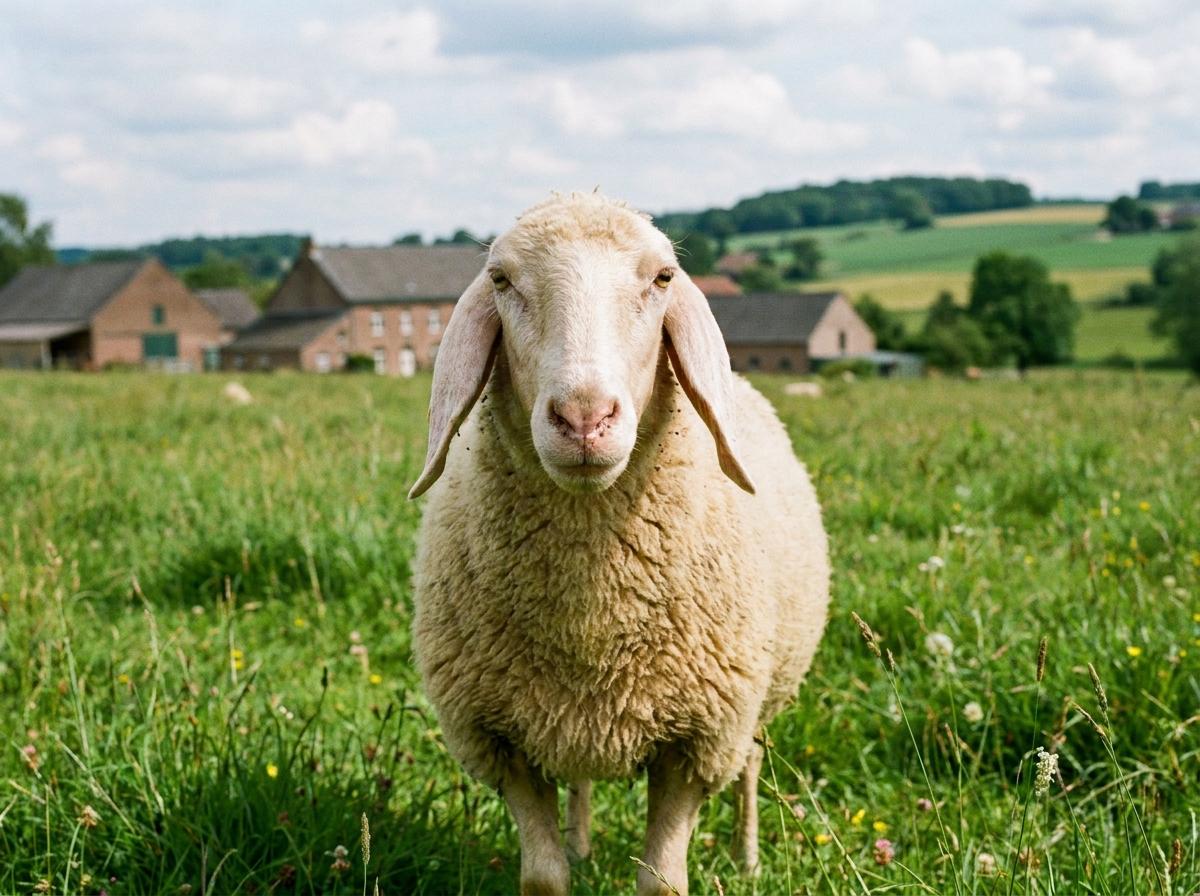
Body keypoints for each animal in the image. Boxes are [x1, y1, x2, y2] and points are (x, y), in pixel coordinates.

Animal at [408, 192, 830, 896]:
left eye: (662, 278)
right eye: (501, 280)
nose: (583, 418)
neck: (594, 619)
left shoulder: (697, 739)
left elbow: (662, 881)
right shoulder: (501, 737)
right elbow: (543, 879)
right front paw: (565, 861)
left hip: (756, 700)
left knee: (749, 765)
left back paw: (746, 855)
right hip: (567, 718)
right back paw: (582, 843)